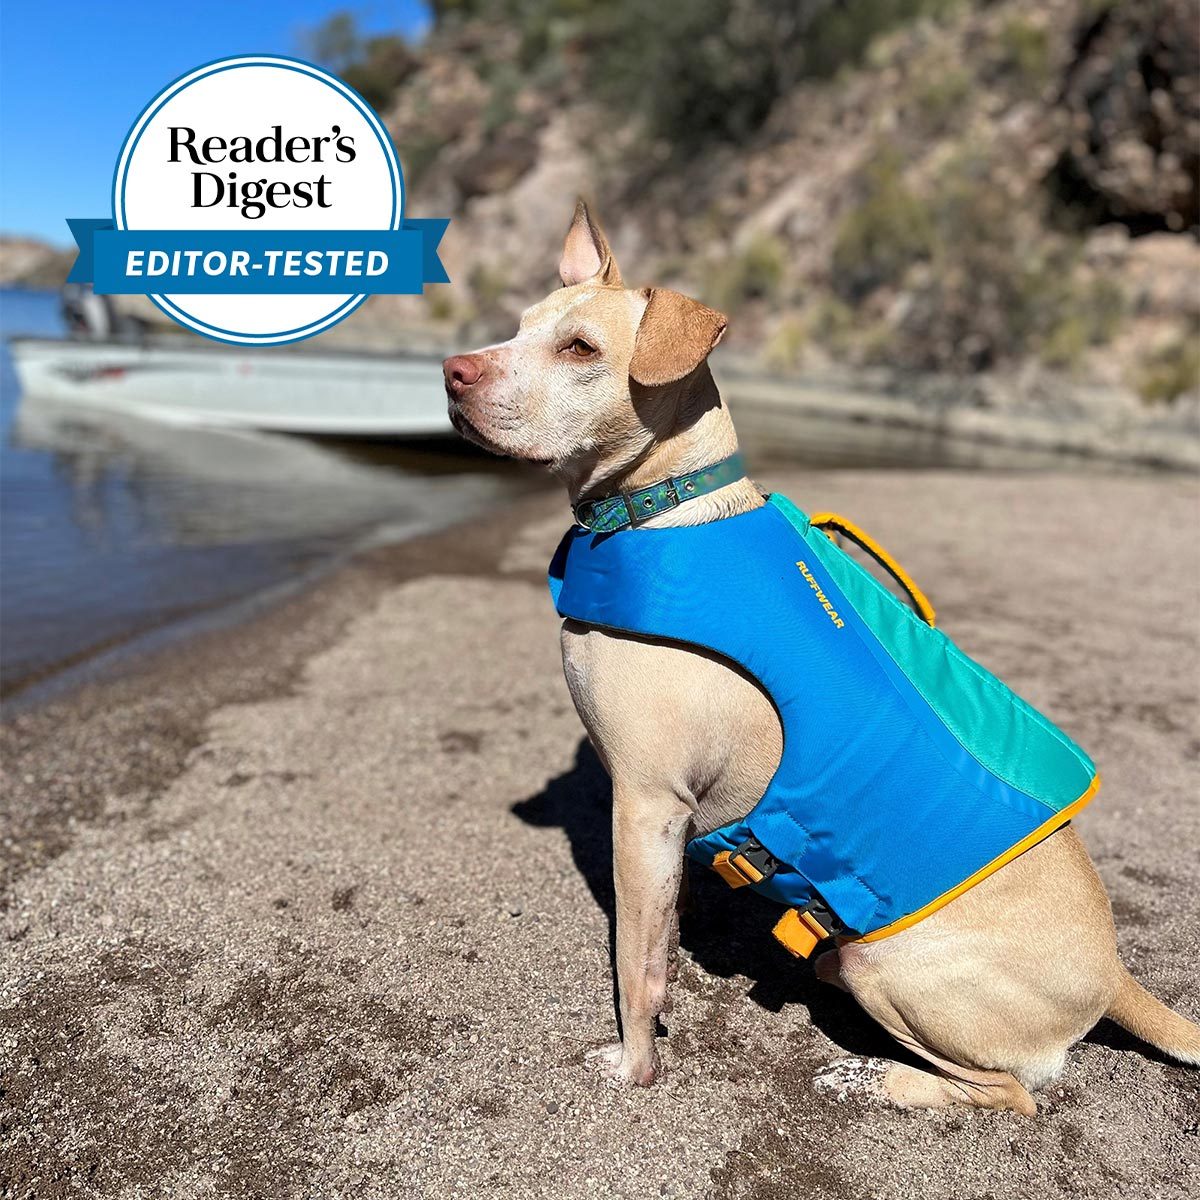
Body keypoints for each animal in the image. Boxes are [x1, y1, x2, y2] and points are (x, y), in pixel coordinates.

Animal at [448, 201, 1200, 1108]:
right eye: (520, 325)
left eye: (582, 349)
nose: (453, 371)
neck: (660, 508)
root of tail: (1117, 975)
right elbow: (659, 943)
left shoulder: (646, 803)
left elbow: (634, 962)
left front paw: (634, 1064)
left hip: (890, 965)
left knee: (1008, 1092)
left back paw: (870, 1077)